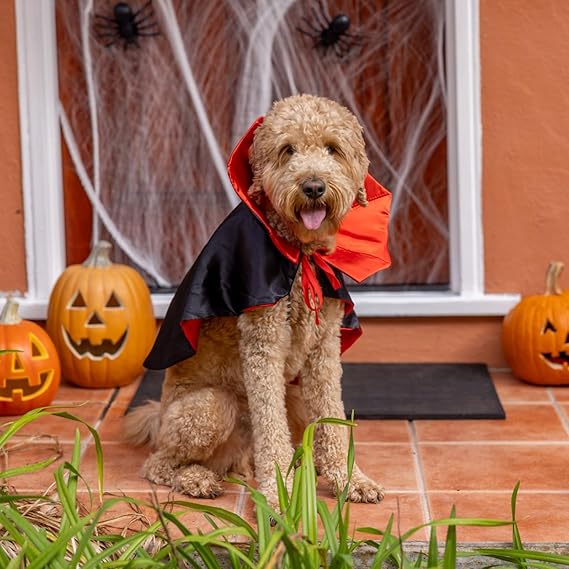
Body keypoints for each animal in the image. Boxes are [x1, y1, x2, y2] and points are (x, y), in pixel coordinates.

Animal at [124, 93, 390, 506]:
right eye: (287, 150)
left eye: (332, 148)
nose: (313, 187)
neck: (299, 255)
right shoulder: (263, 343)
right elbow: (270, 425)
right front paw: (279, 492)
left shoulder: (324, 349)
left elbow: (332, 421)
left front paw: (350, 480)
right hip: (208, 409)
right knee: (159, 463)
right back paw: (197, 479)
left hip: (293, 398)